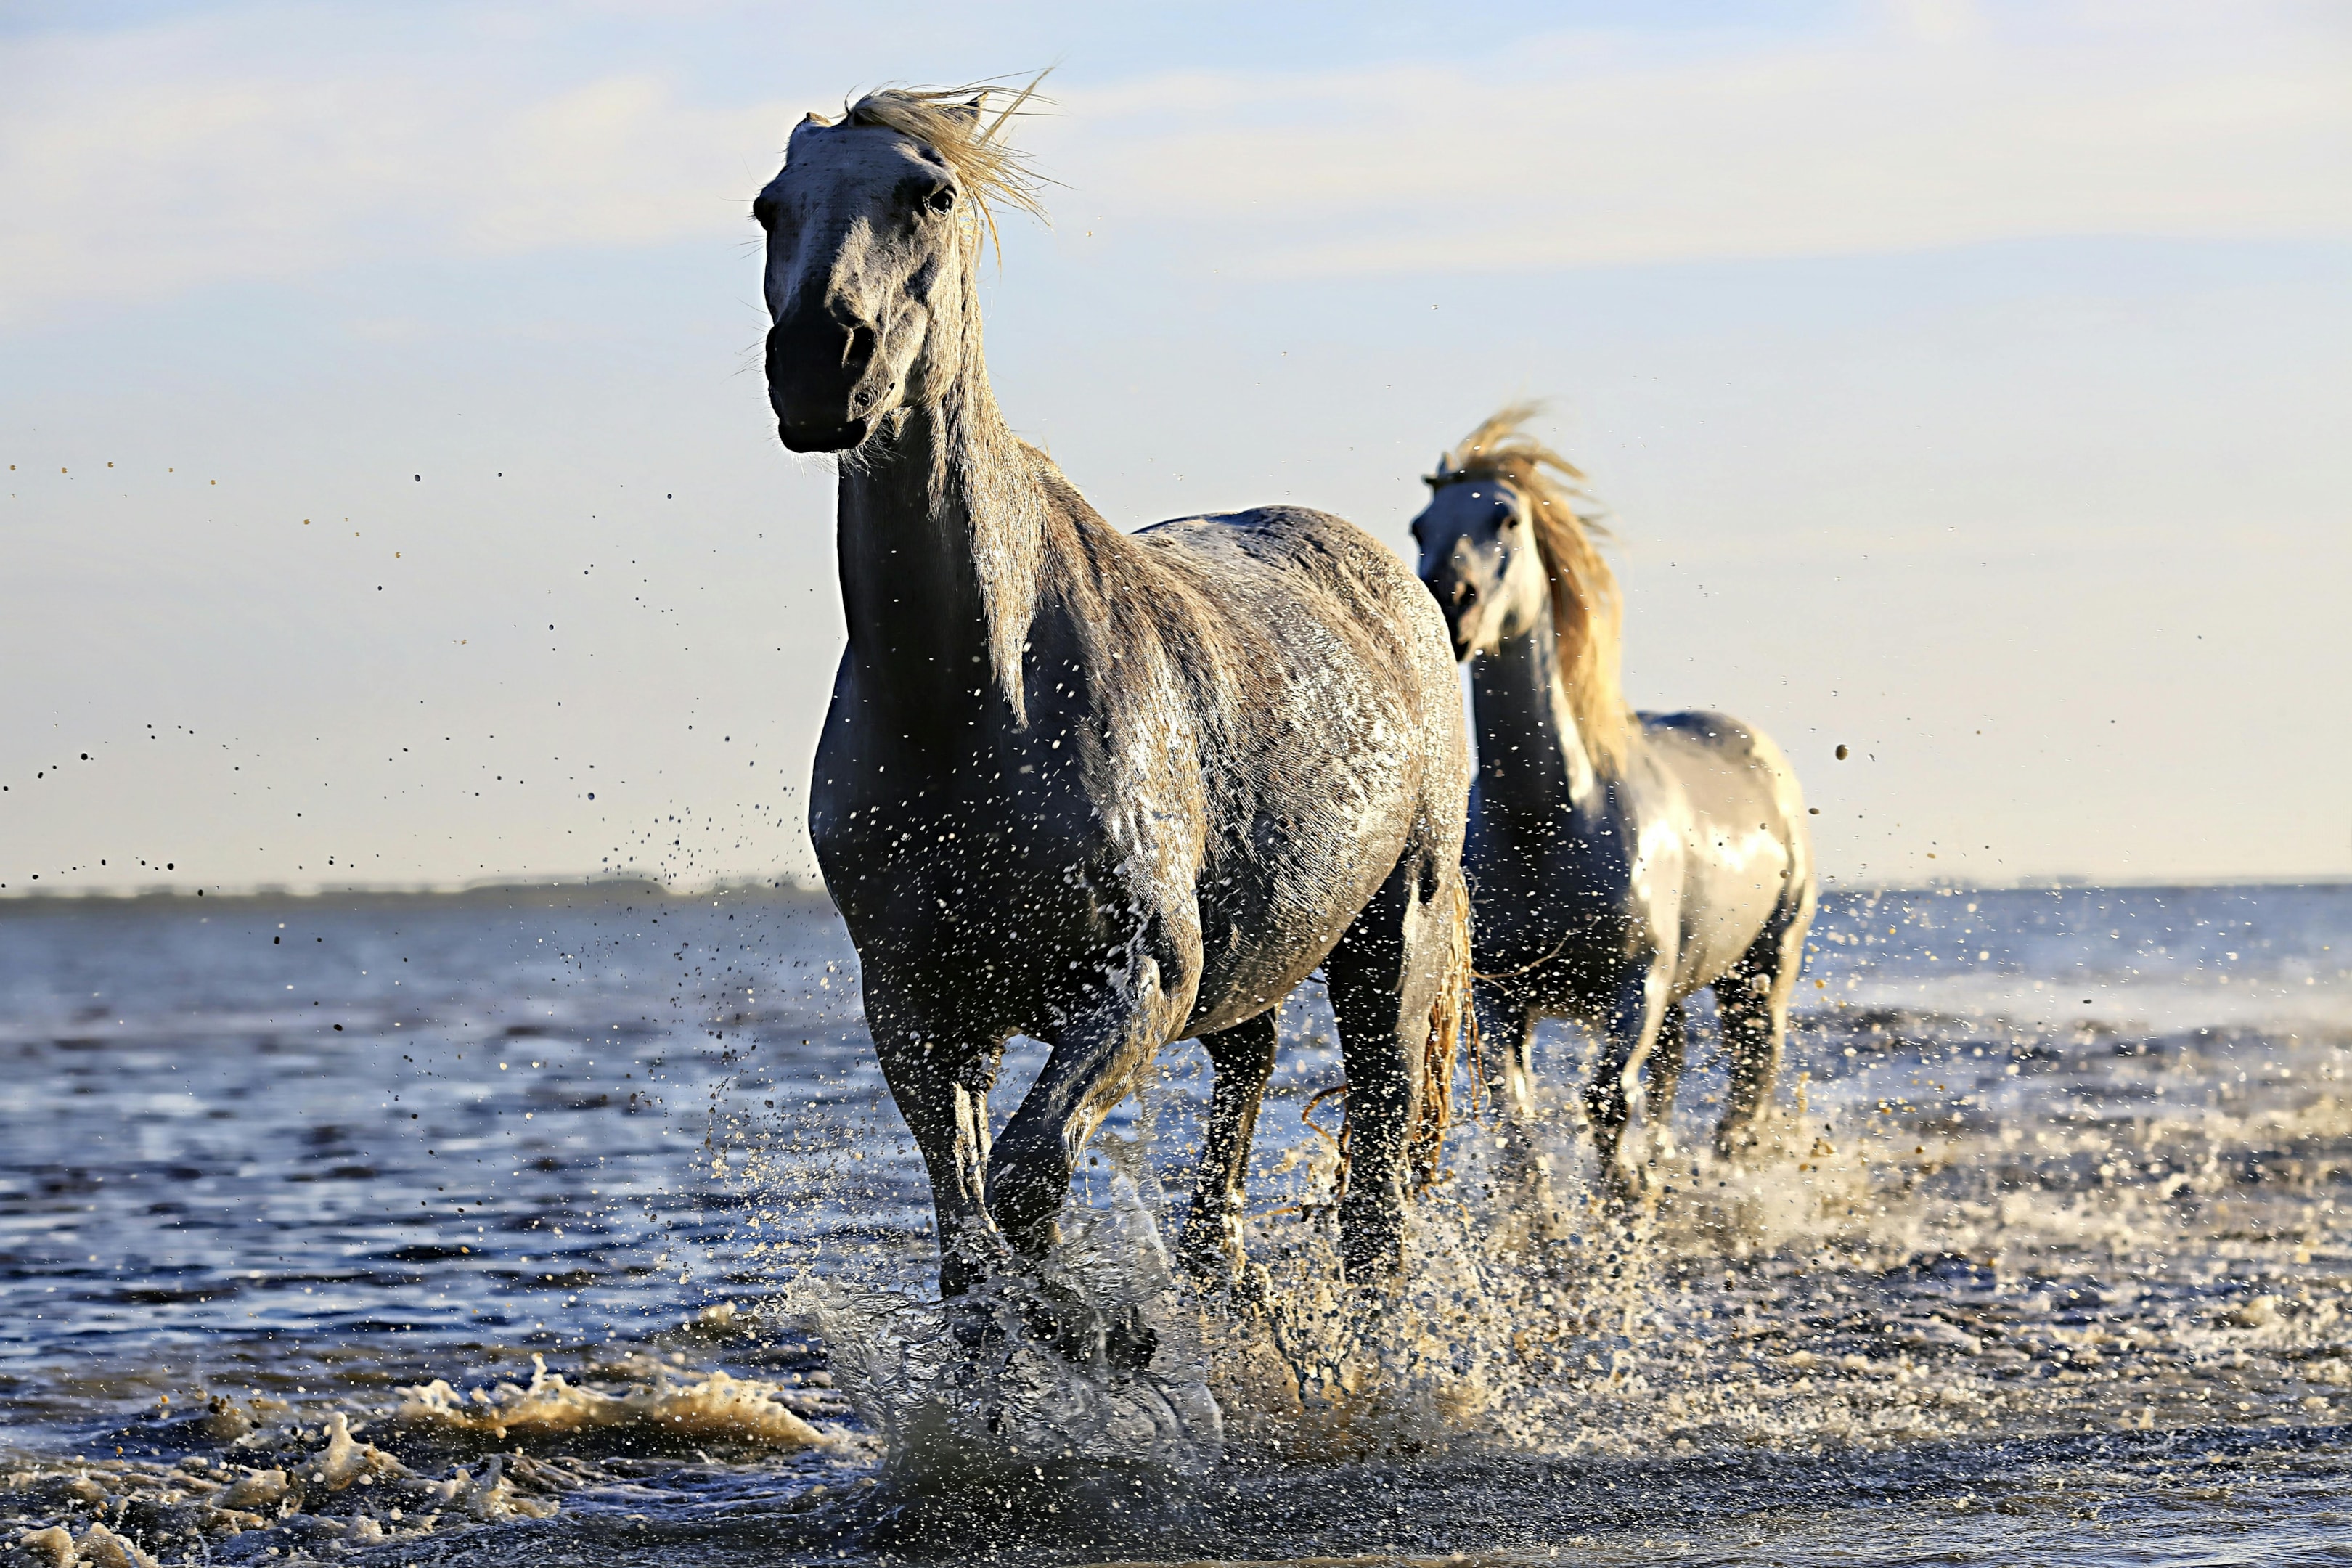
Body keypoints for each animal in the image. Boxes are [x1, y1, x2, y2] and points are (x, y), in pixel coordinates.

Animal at [754, 82, 1471, 1317]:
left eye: (928, 194)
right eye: (769, 207)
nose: (818, 362)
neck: (974, 702)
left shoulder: (1139, 978)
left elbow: (1029, 1181)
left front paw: (1097, 1334)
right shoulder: (919, 1007)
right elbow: (972, 1242)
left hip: (1394, 942)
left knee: (1377, 1187)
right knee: (1244, 1097)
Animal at [1408, 405, 1815, 1207]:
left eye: (1506, 518)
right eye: (1419, 526)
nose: (1449, 601)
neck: (1549, 821)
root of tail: (1760, 752)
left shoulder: (1637, 984)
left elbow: (1605, 1104)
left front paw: (1623, 1202)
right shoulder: (1505, 996)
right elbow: (1517, 1120)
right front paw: (1545, 1223)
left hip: (1760, 972)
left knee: (1748, 1079)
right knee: (1674, 1065)